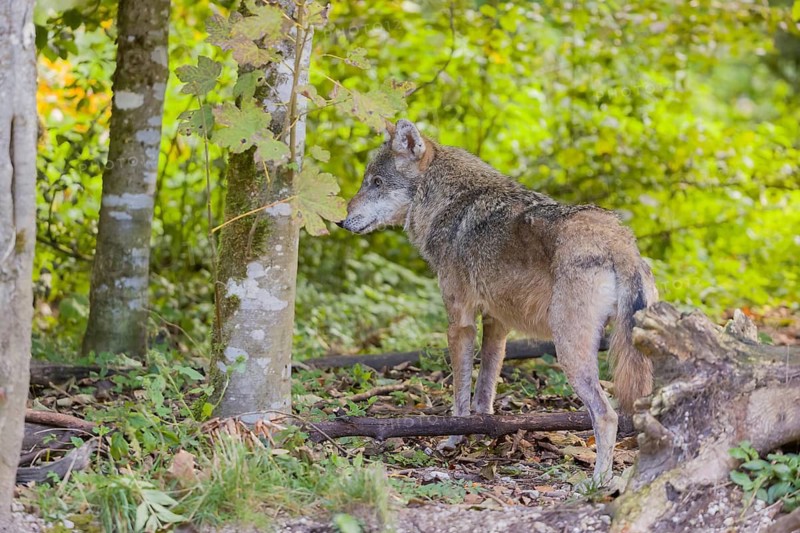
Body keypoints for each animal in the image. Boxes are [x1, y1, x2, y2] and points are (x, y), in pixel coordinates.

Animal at [337, 119, 657, 484]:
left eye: (376, 183)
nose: (340, 221)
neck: (448, 203)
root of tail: (619, 241)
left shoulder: (460, 322)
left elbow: (460, 395)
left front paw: (454, 439)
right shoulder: (497, 324)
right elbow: (485, 391)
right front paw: (485, 432)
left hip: (570, 353)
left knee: (607, 416)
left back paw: (596, 483)